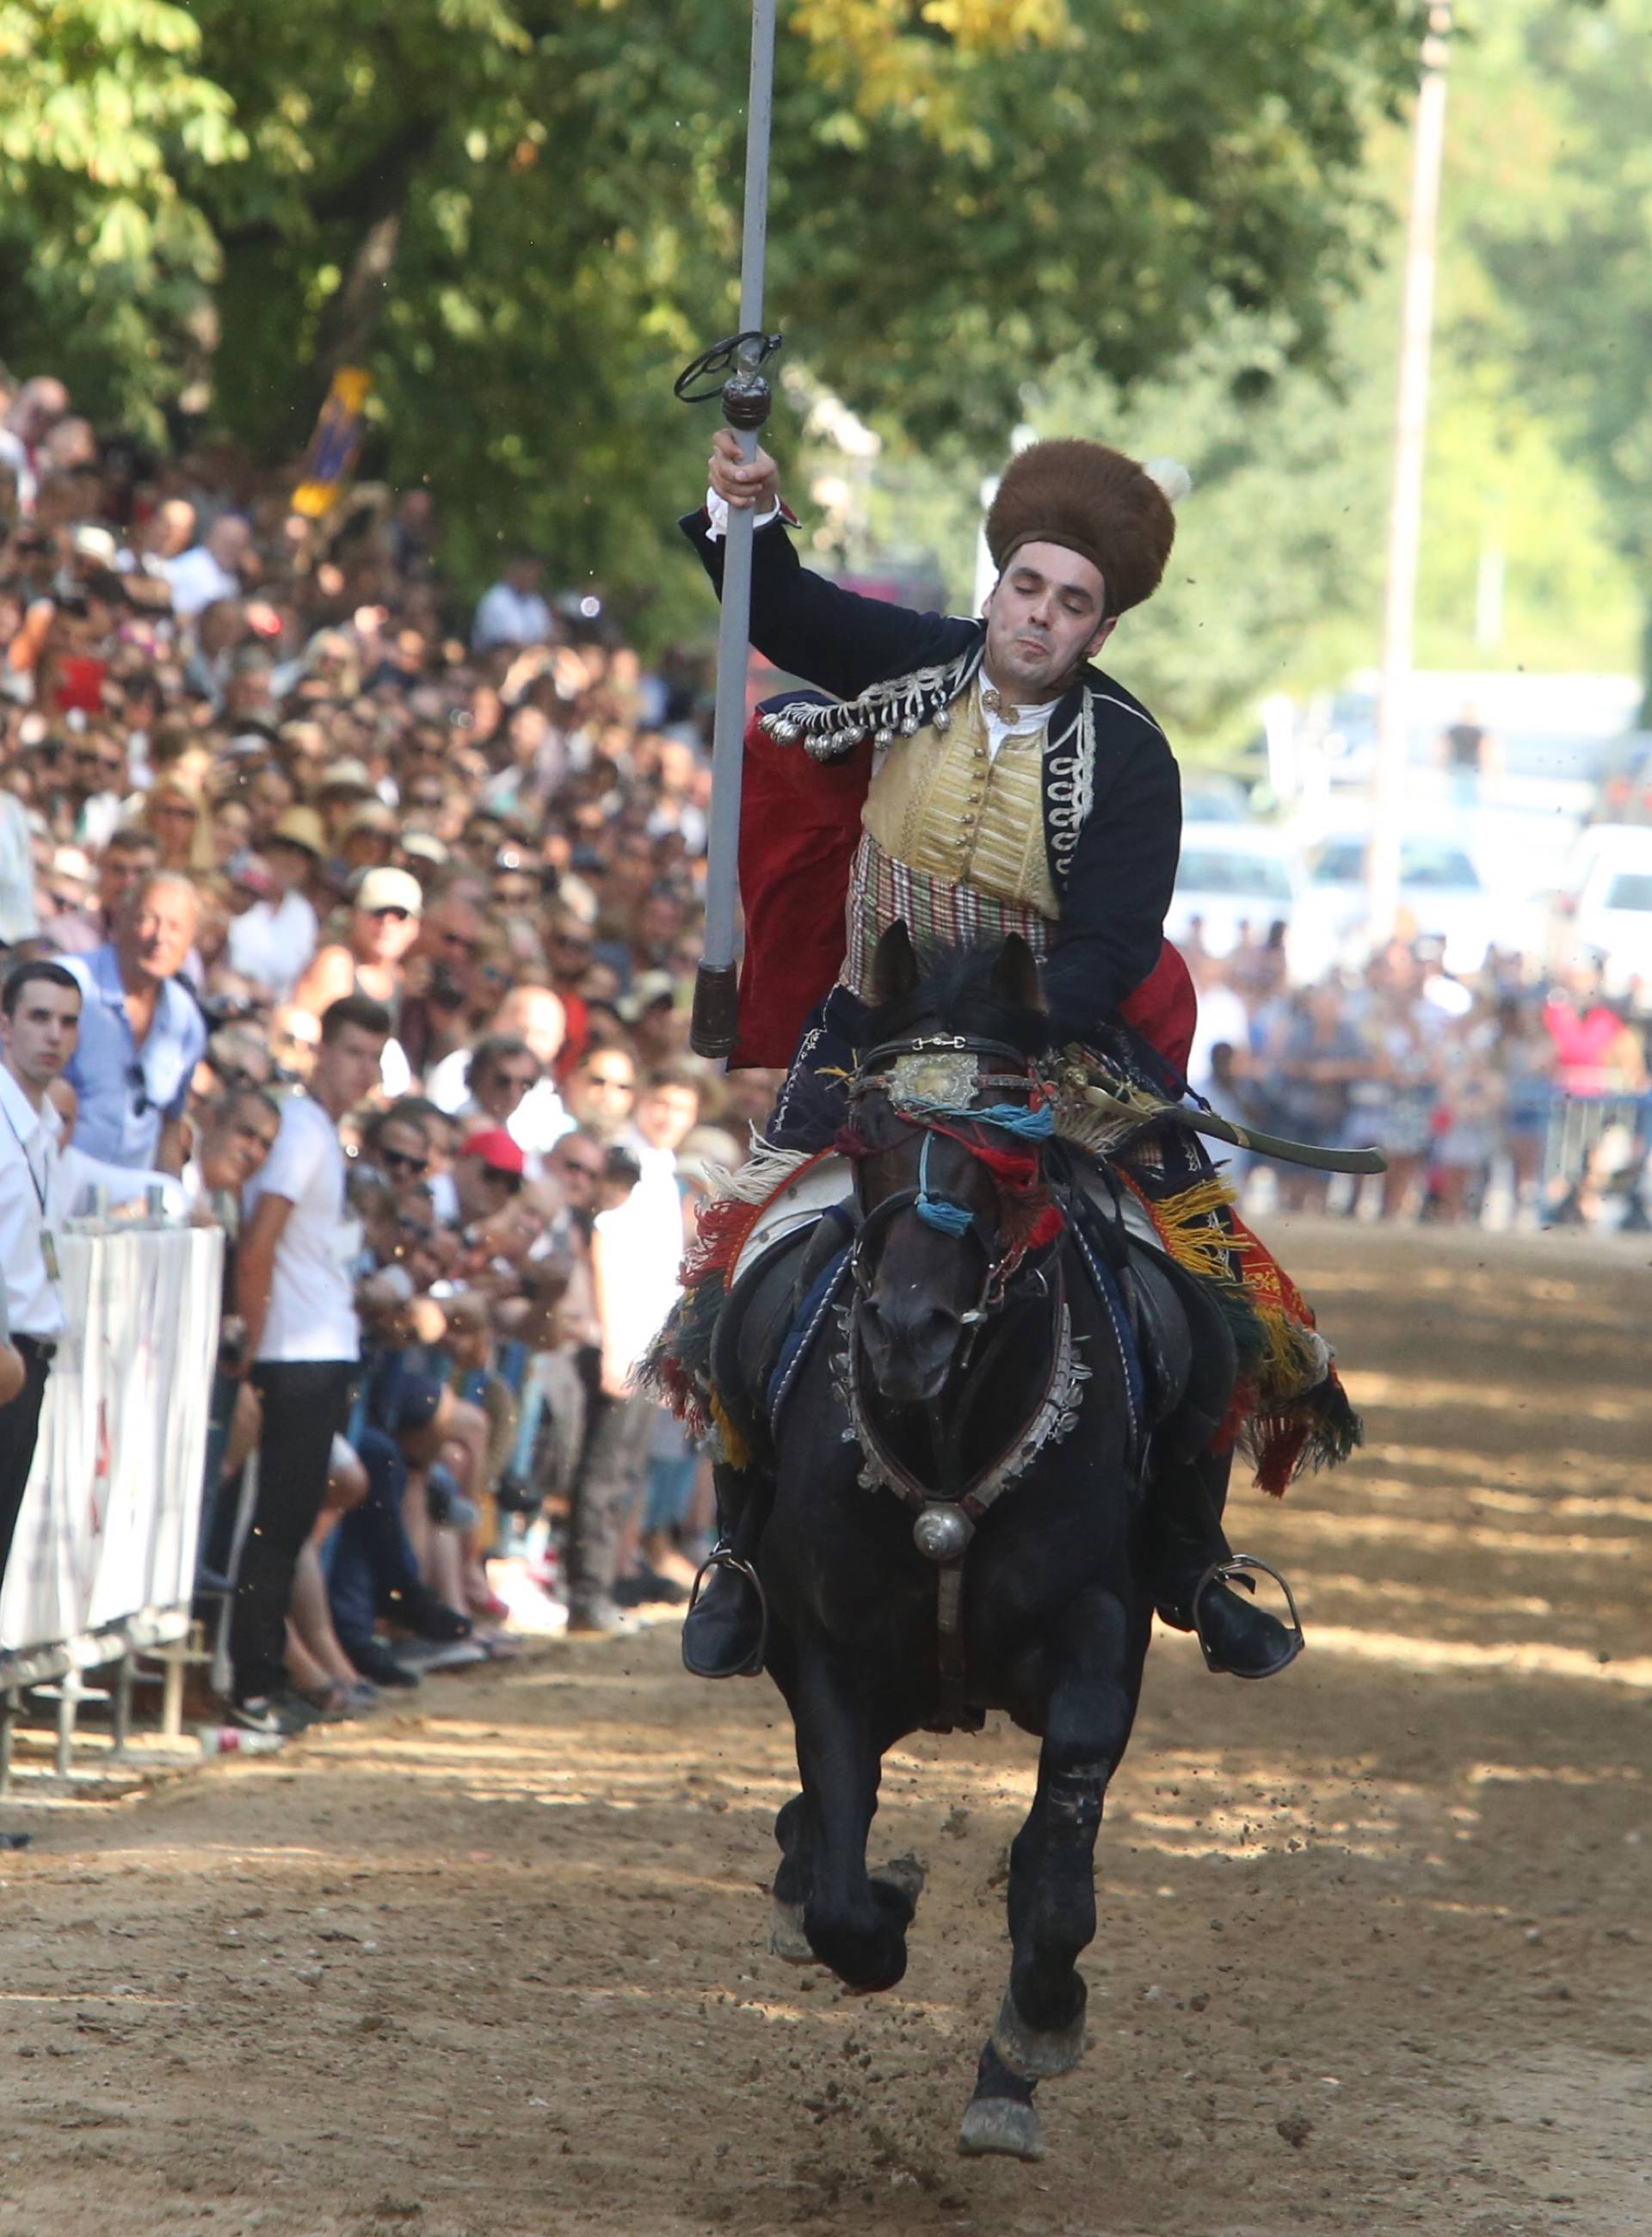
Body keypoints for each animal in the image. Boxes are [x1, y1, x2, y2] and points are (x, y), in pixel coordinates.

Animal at [702, 917, 1271, 2156]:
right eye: (871, 1132)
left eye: (1007, 1145)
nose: (906, 1333)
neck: (951, 1439)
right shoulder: (830, 1654)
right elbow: (840, 1881)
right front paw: (880, 1900)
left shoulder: (1098, 1643)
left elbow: (1056, 1868)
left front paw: (1030, 2039)